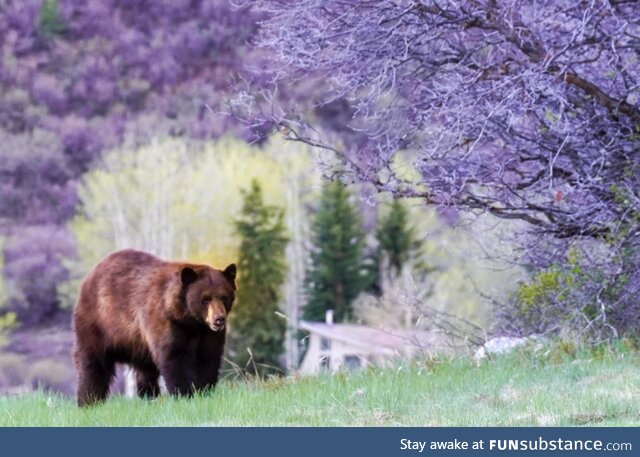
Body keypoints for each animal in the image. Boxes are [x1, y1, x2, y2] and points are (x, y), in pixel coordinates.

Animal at [73, 249, 238, 406]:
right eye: (205, 299)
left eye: (224, 297)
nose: (219, 319)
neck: (190, 320)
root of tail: (92, 274)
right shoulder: (166, 323)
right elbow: (175, 356)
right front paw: (185, 394)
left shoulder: (207, 333)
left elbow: (208, 357)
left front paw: (204, 391)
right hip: (98, 324)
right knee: (92, 362)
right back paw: (89, 401)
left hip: (139, 345)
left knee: (145, 371)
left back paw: (149, 397)